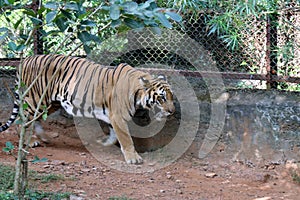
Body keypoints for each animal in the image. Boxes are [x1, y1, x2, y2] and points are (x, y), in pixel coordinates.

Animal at [0, 54, 175, 164]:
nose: (172, 111)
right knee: (22, 121)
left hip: (49, 103)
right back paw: (29, 141)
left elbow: (113, 134)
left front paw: (104, 142)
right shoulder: (118, 116)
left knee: (34, 119)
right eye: (162, 98)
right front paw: (133, 158)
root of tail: (25, 60)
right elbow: (126, 138)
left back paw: (43, 138)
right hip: (34, 98)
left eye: (171, 96)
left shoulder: (112, 116)